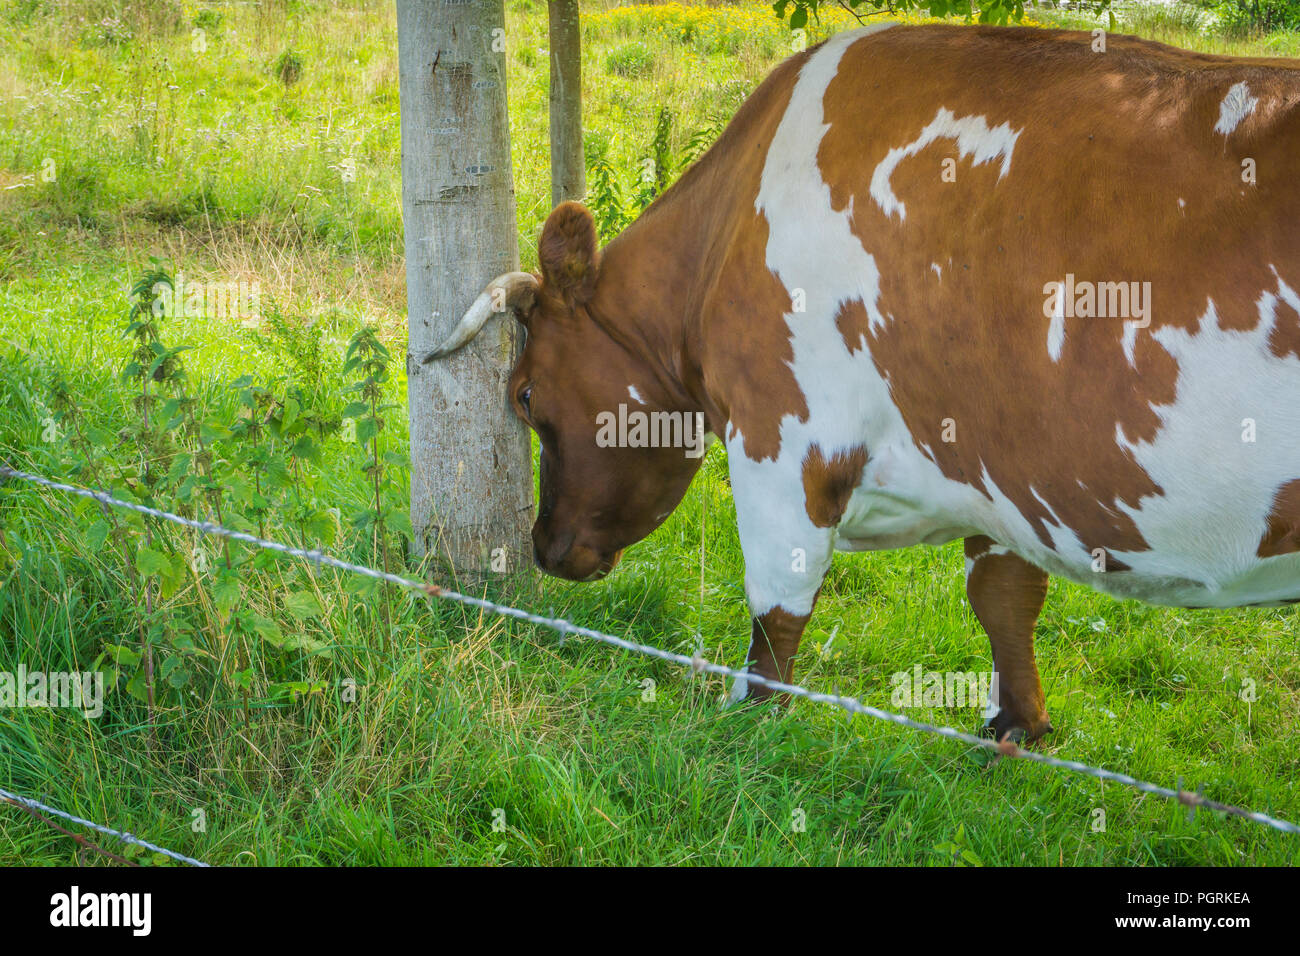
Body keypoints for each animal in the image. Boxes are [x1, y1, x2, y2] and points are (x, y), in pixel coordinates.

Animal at [422, 24, 1300, 743]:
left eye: (524, 395)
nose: (543, 546)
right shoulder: (995, 465)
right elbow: (1004, 596)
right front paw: (1016, 727)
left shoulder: (785, 438)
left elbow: (778, 604)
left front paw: (749, 722)